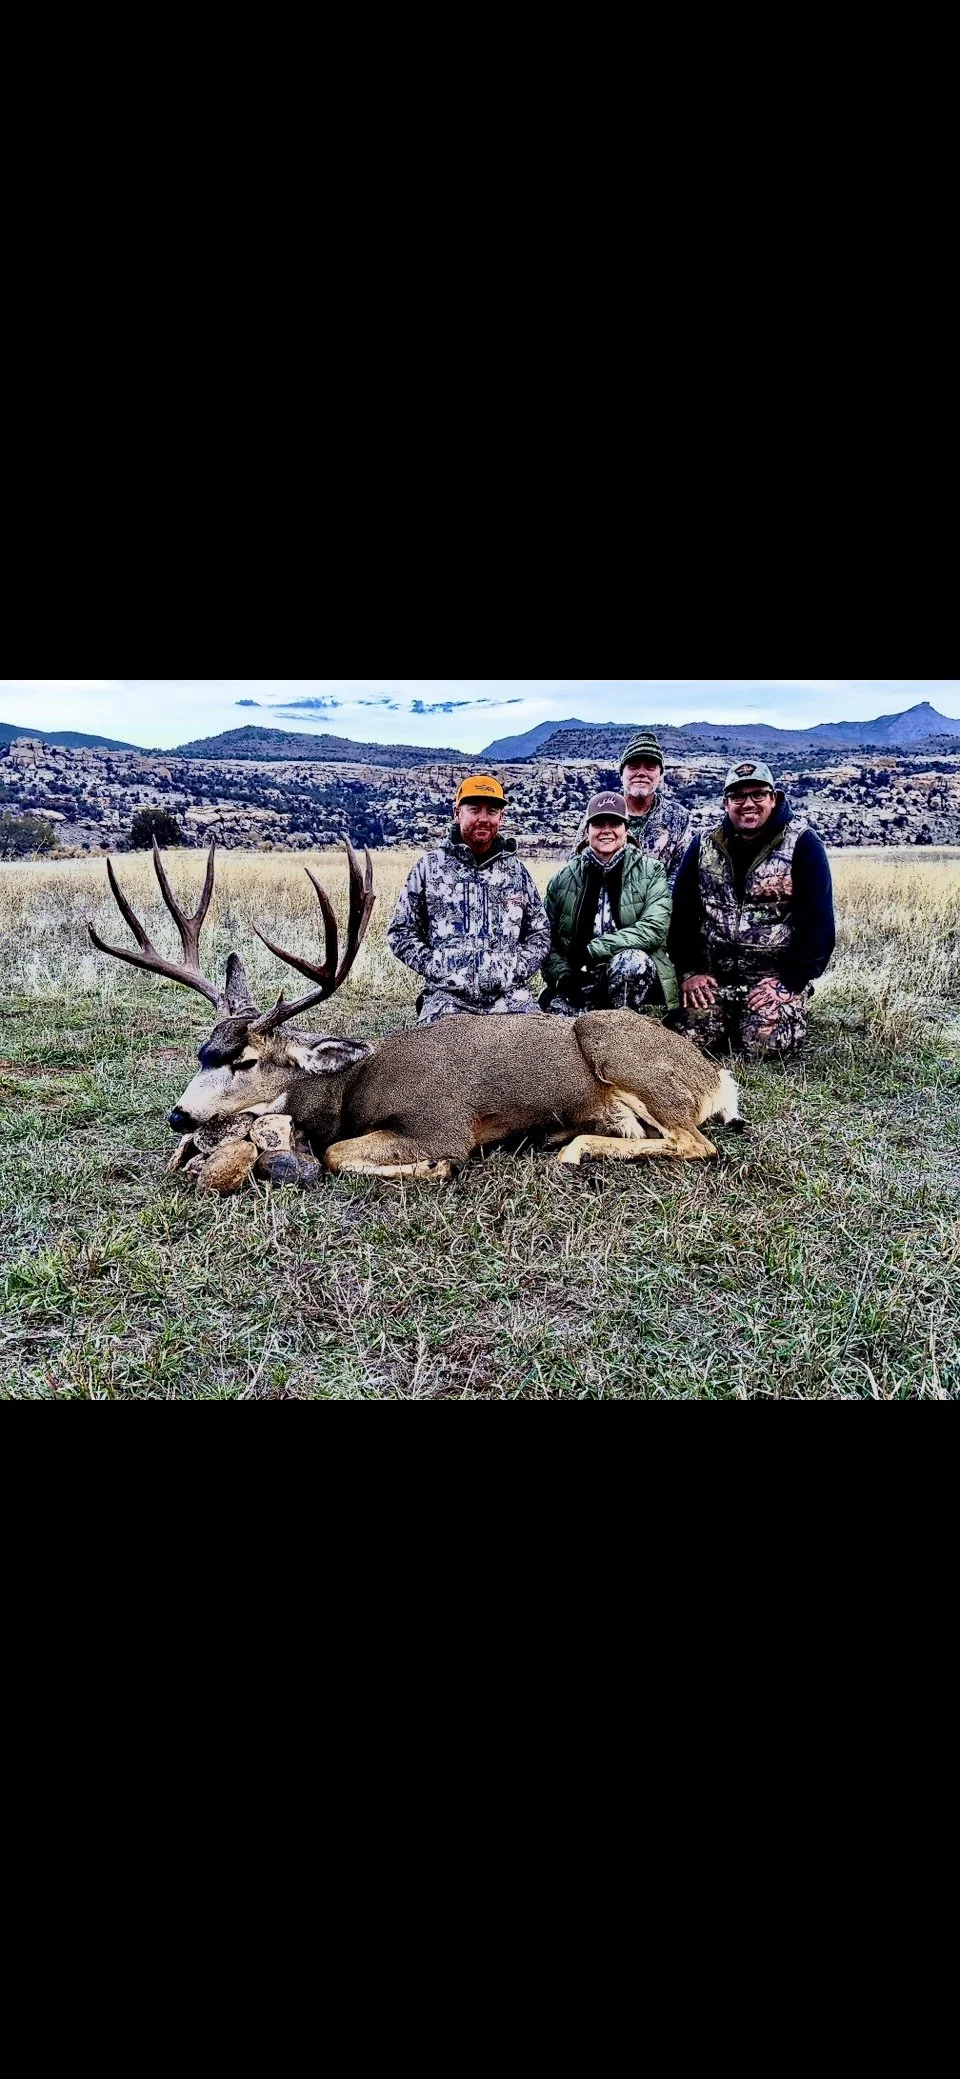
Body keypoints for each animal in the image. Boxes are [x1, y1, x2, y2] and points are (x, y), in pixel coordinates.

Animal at [88, 838, 740, 1186]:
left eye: (246, 1060)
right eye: (203, 1050)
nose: (178, 1115)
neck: (352, 1091)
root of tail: (714, 1076)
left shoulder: (440, 1125)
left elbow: (338, 1154)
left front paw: (432, 1171)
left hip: (615, 1044)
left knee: (696, 1143)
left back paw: (574, 1148)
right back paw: (575, 1138)